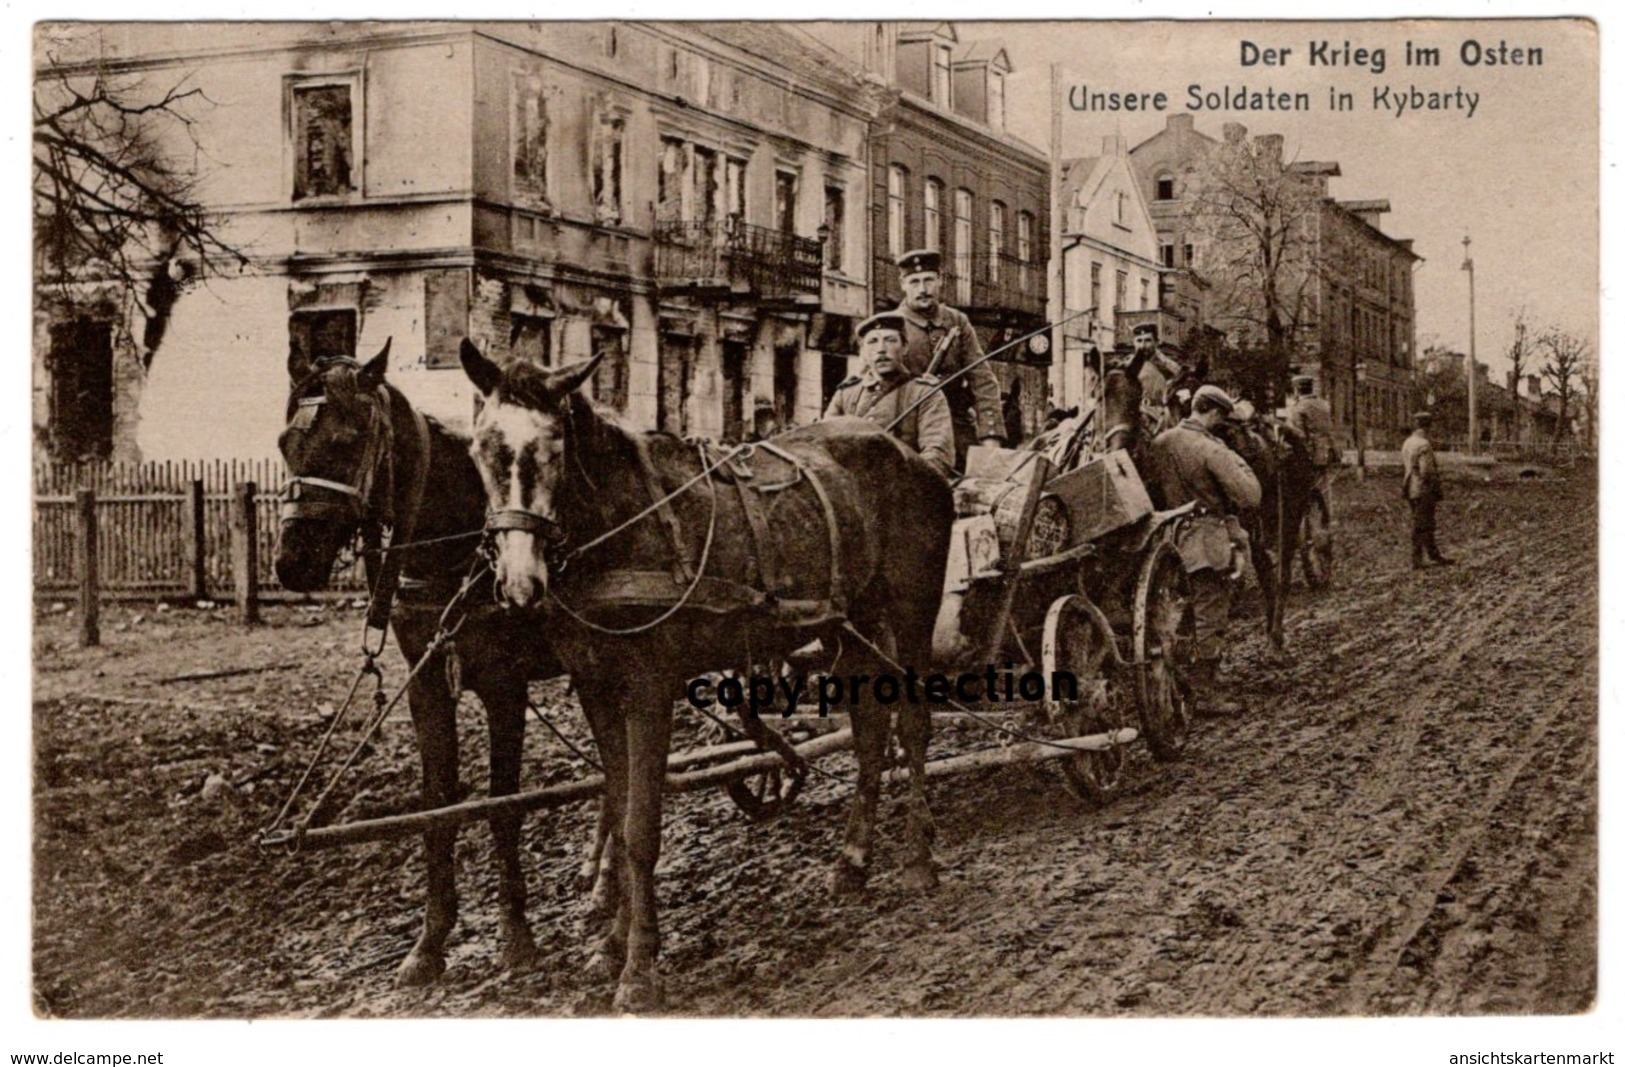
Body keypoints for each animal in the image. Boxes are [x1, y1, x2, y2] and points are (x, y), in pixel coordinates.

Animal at [274, 341, 565, 980]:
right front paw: (430, 943)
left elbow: (504, 804)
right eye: (284, 442)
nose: (291, 562)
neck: (460, 545)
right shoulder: (426, 684)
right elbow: (437, 807)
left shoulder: (505, 686)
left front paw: (517, 935)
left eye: (347, 440)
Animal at [458, 339, 949, 1006]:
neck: (626, 521)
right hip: (850, 625)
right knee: (871, 734)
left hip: (912, 613)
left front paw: (639, 969)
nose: (518, 583)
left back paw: (919, 860)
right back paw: (852, 863)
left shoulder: (649, 685)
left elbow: (639, 825)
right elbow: (619, 813)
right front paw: (612, 946)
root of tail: (911, 458)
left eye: (553, 447)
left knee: (914, 728)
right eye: (480, 449)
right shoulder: (595, 688)